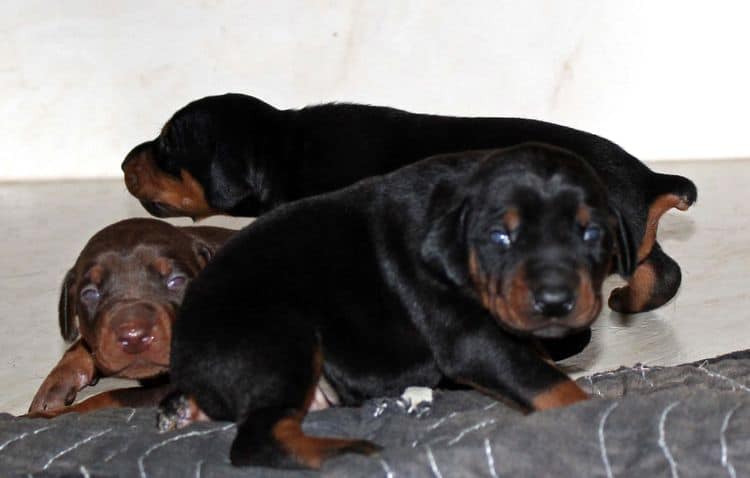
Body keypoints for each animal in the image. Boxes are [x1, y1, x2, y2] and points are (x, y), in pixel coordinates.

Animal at [27, 218, 235, 416]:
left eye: (177, 280)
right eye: (90, 293)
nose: (134, 337)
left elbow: (109, 398)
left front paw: (42, 417)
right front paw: (57, 382)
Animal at [164, 144, 648, 468]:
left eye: (591, 233)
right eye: (500, 237)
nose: (554, 301)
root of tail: (183, 359)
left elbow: (540, 362)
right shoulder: (472, 339)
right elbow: (551, 385)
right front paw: (592, 409)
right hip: (283, 336)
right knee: (257, 439)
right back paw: (345, 452)